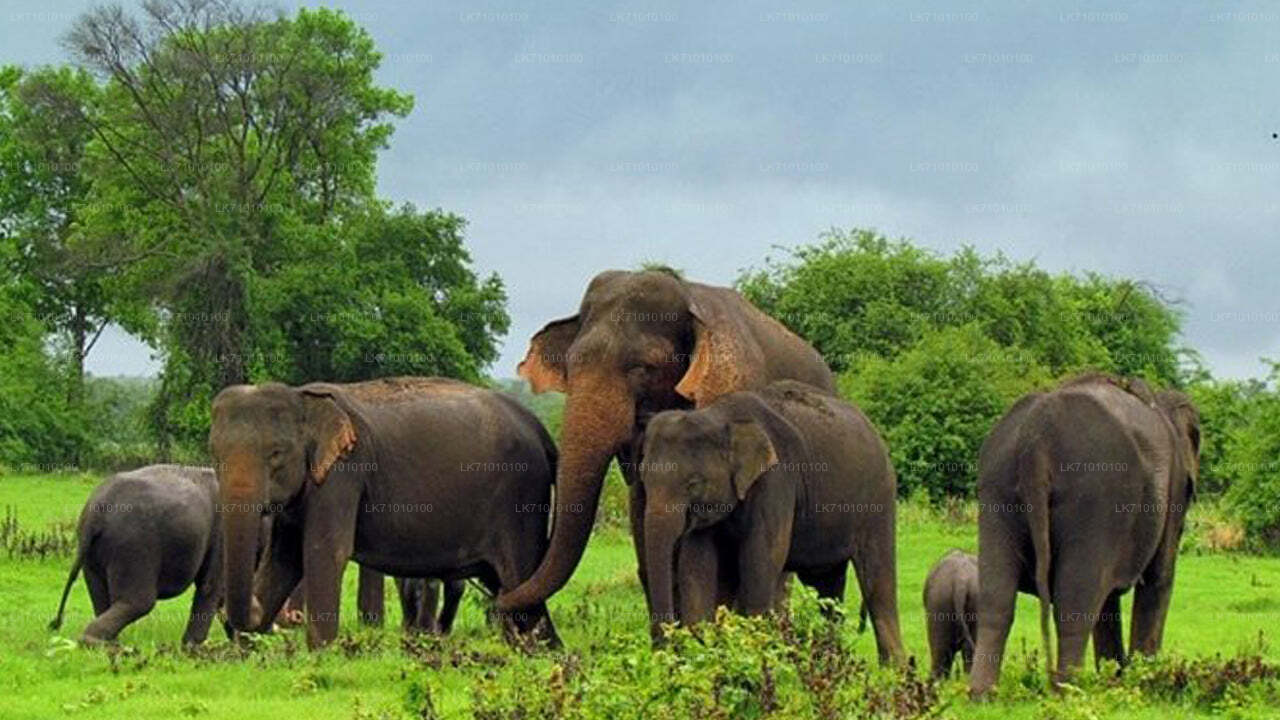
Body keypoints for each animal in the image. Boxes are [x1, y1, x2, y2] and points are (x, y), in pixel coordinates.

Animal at [49, 465, 223, 645]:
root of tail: (96, 511)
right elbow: (210, 585)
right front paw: (193, 647)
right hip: (135, 544)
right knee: (140, 602)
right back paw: (101, 643)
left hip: (93, 553)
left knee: (101, 597)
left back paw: (108, 644)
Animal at [209, 376, 560, 649]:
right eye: (215, 454)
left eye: (276, 453)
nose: (283, 619)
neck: (302, 397)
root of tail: (540, 428)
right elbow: (284, 559)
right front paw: (247, 652)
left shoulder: (344, 472)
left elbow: (325, 552)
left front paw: (320, 654)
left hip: (520, 501)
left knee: (520, 577)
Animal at [637, 380, 906, 664]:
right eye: (643, 479)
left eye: (693, 484)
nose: (663, 651)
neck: (719, 415)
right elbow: (697, 566)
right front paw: (706, 654)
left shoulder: (776, 480)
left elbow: (760, 558)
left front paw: (754, 655)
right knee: (826, 585)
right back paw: (830, 661)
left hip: (879, 497)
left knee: (878, 579)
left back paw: (893, 667)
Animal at [968, 374, 1200, 697]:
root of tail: (1037, 437)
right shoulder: (1173, 486)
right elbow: (1158, 579)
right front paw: (1142, 683)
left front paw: (1116, 679)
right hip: (1094, 495)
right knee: (1075, 600)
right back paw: (1067, 692)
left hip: (996, 488)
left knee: (996, 597)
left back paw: (982, 696)